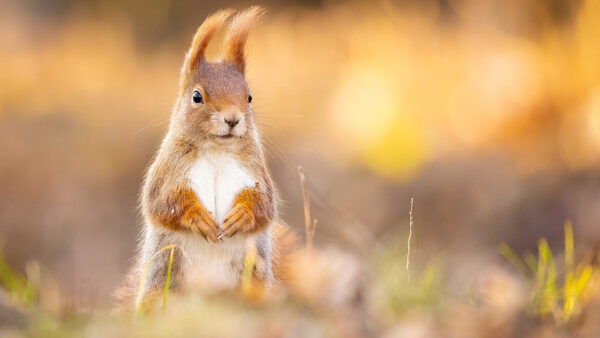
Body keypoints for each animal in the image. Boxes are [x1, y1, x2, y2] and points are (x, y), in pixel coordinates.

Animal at [121, 7, 298, 308]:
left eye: (249, 97)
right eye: (196, 97)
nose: (232, 119)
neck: (216, 150)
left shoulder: (255, 172)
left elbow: (264, 205)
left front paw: (241, 215)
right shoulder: (168, 172)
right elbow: (162, 202)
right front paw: (197, 217)